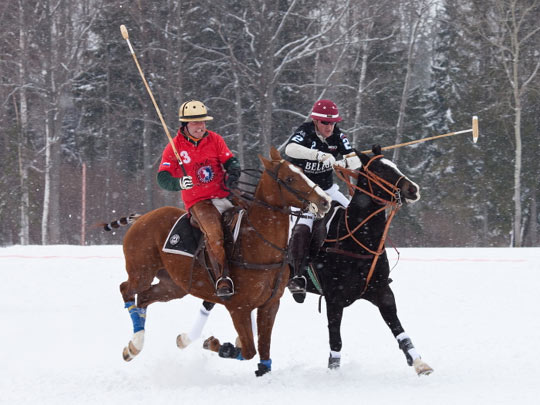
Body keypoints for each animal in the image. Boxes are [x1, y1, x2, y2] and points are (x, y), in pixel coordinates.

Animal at [116, 148, 332, 376]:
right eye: (289, 178)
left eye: (302, 171)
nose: (325, 200)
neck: (260, 245)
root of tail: (141, 217)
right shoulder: (238, 307)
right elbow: (249, 350)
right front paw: (215, 344)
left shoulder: (270, 304)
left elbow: (263, 349)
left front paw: (262, 369)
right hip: (141, 271)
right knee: (126, 289)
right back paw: (135, 345)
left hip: (175, 285)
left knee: (144, 298)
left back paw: (133, 346)